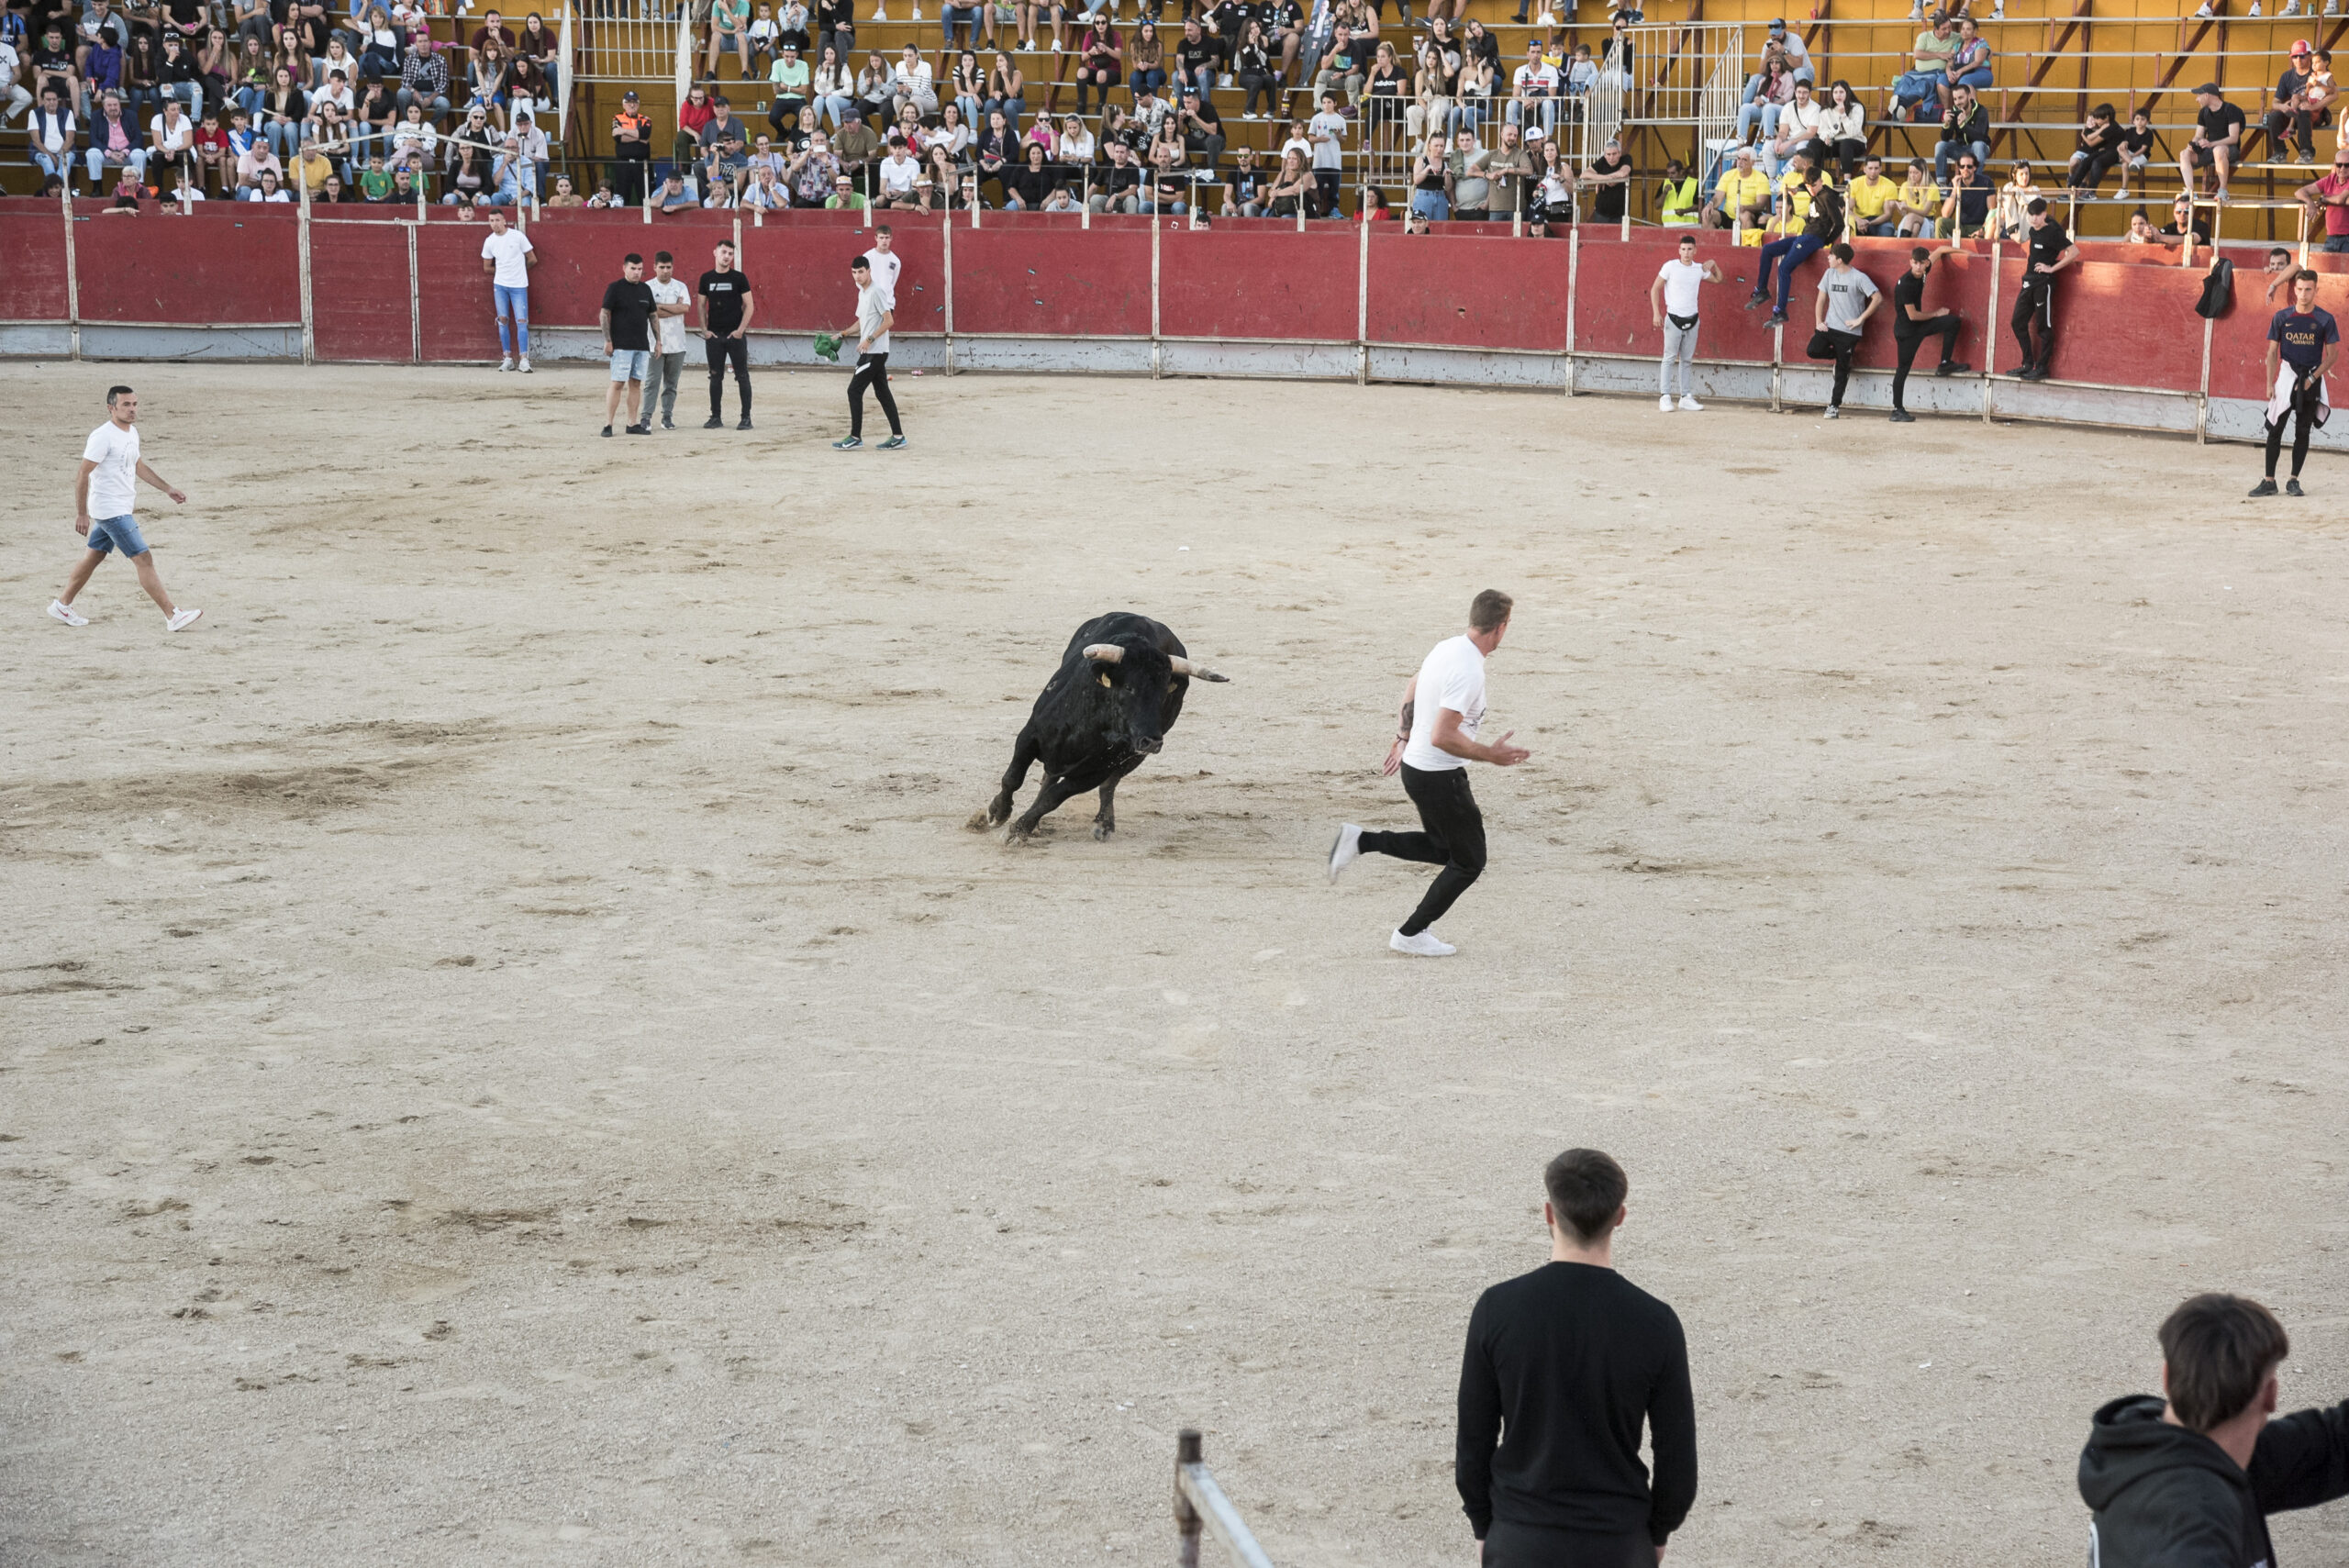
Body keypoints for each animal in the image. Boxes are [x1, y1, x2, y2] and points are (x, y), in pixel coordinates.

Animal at [967, 610, 1230, 840]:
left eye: (1165, 693)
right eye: (1129, 687)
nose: (1152, 741)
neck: (1088, 726)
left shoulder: (1098, 769)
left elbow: (1055, 797)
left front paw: (1019, 830)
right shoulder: (1029, 735)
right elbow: (1013, 778)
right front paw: (997, 814)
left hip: (1134, 757)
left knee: (1107, 785)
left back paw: (1103, 824)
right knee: (1048, 776)